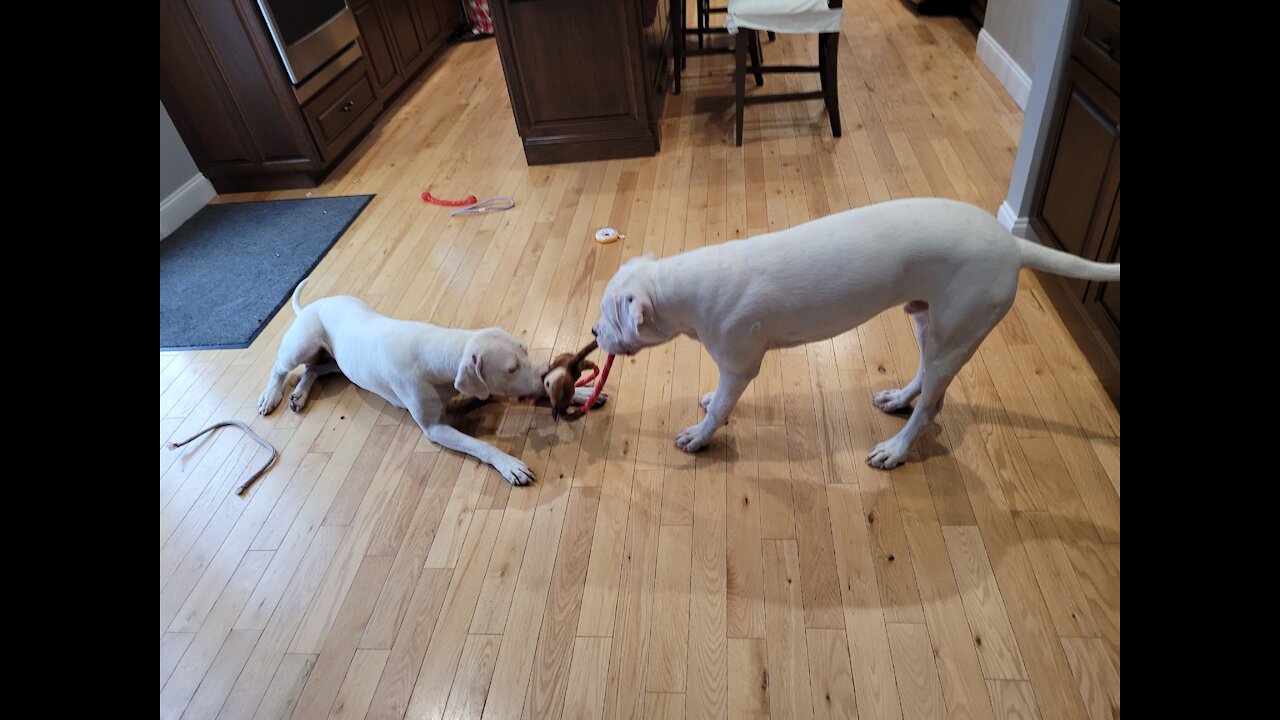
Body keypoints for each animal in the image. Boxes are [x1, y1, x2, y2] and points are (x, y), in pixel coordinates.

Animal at [259, 278, 604, 484]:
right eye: (511, 368)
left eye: (526, 351)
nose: (547, 374)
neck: (440, 352)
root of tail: (311, 306)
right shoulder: (435, 428)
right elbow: (479, 444)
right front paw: (509, 464)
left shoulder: (486, 390)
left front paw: (581, 392)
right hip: (302, 343)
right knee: (280, 366)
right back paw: (271, 396)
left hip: (338, 363)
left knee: (313, 369)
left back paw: (299, 395)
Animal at [591, 196, 1121, 468]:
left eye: (609, 315)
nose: (594, 333)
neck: (684, 285)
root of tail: (1013, 246)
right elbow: (717, 398)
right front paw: (705, 408)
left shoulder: (739, 366)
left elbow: (724, 404)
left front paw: (700, 437)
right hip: (926, 321)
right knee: (924, 379)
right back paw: (897, 399)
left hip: (957, 333)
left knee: (931, 407)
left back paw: (896, 449)